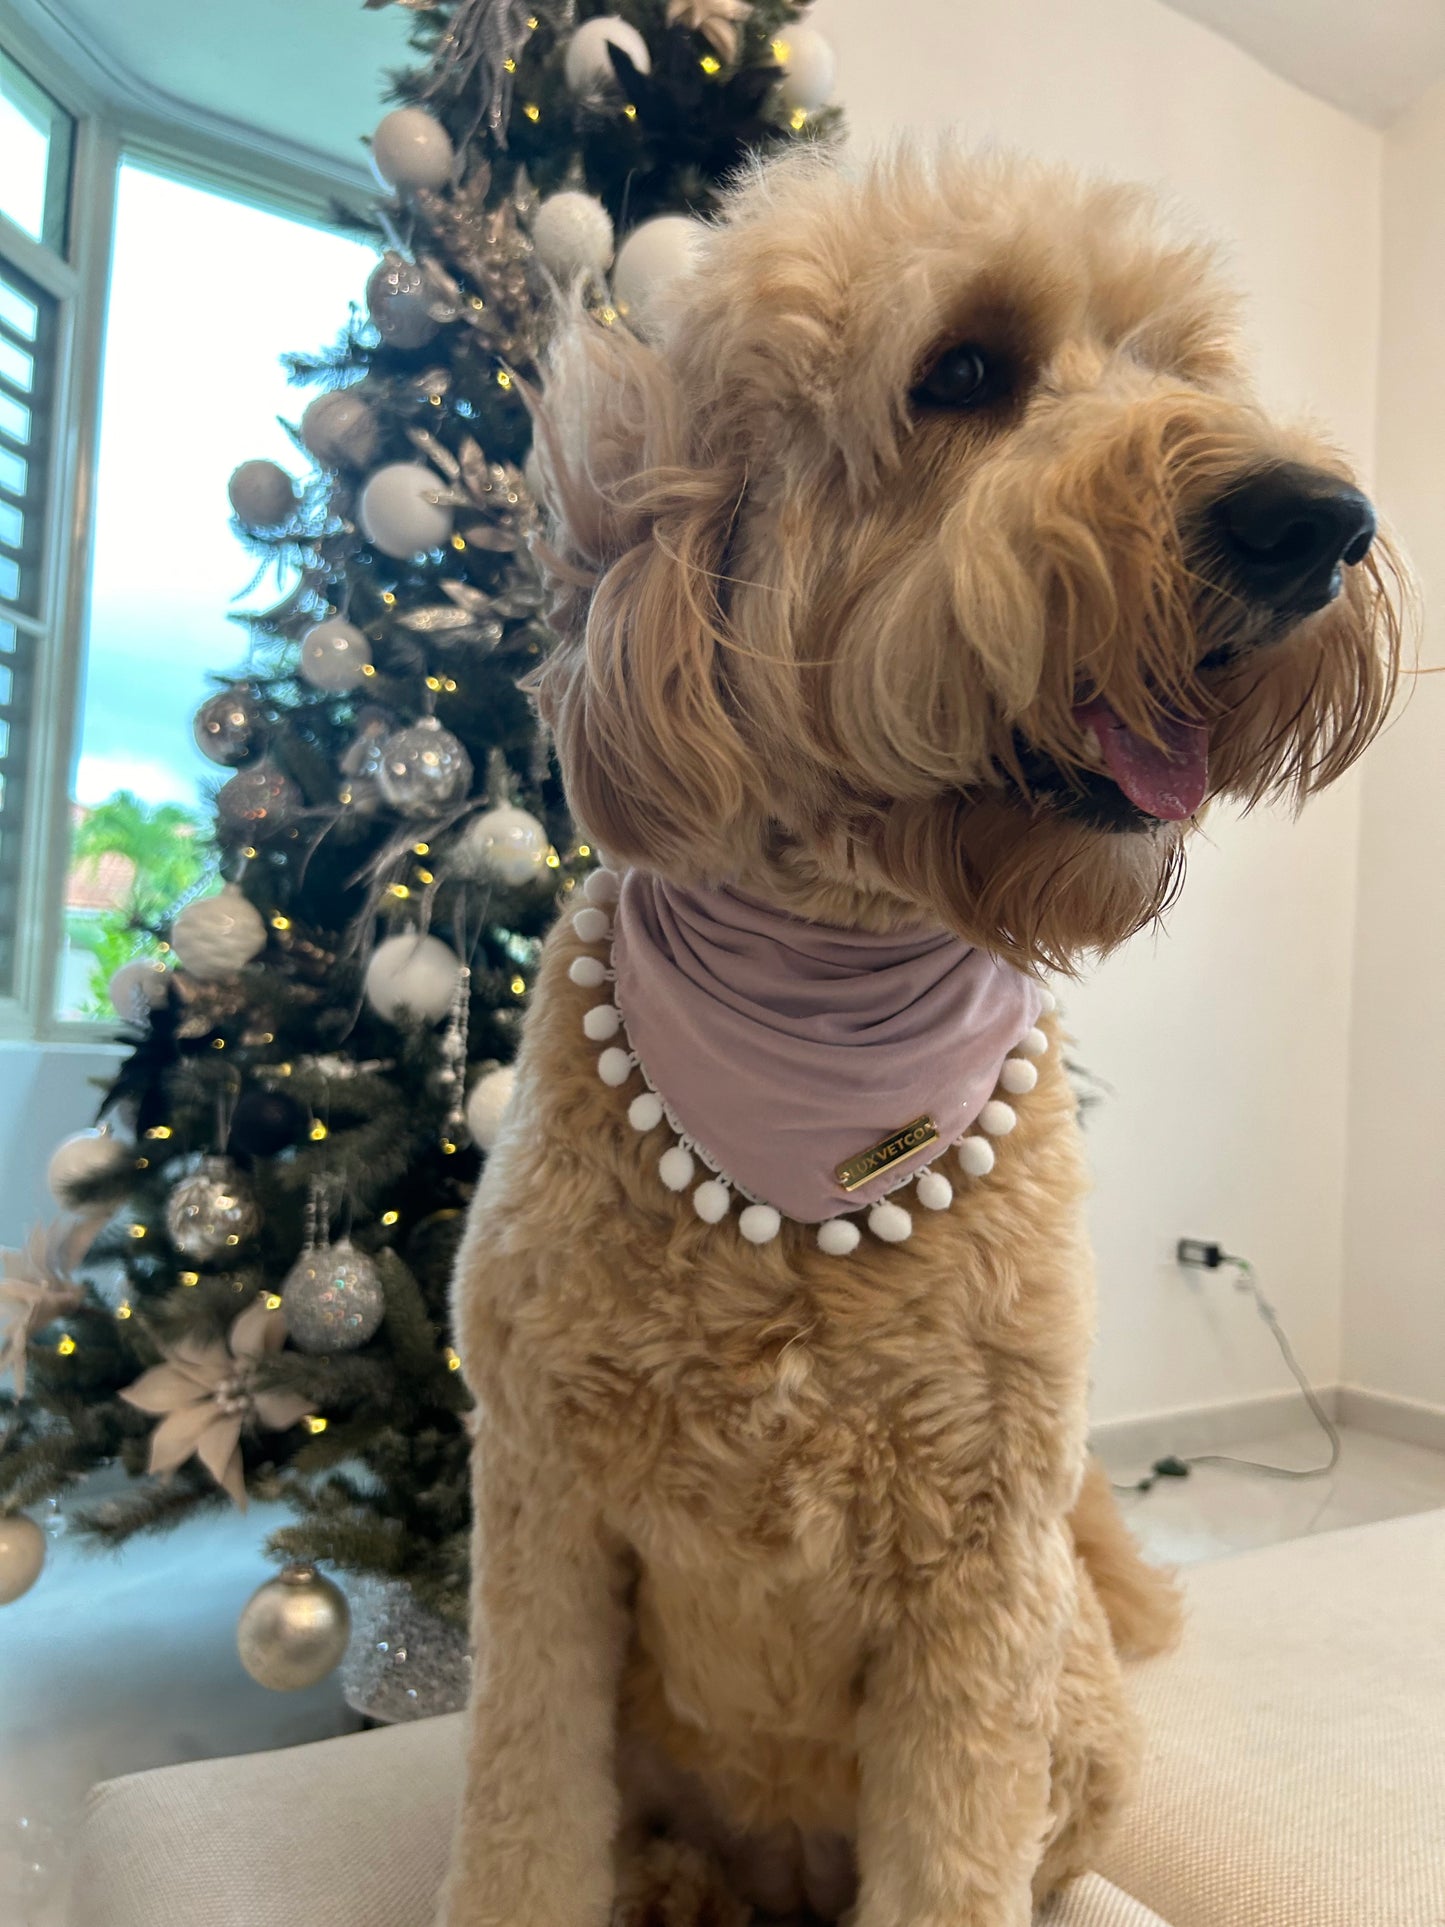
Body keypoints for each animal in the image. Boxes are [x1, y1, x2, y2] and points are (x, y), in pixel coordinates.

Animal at [439, 139, 1402, 1927]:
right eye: (961, 372)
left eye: (1181, 365)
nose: (1319, 521)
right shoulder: (540, 1518)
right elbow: (525, 1822)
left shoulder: (982, 1562)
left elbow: (958, 1846)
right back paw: (674, 1882)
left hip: (1071, 1695)